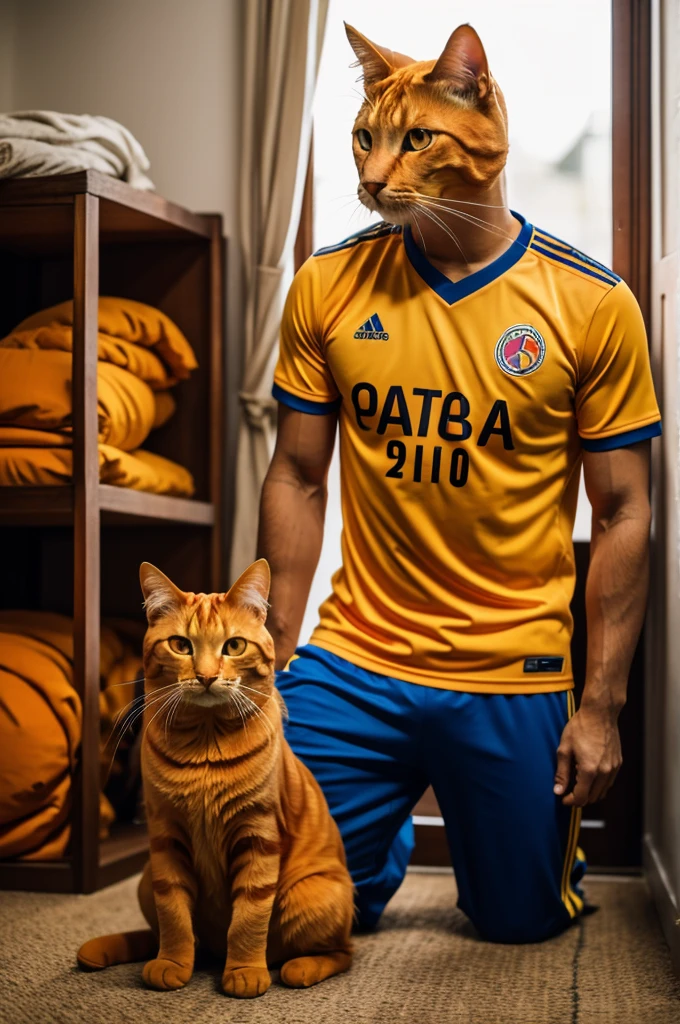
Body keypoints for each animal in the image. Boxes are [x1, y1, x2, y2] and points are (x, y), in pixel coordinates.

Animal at [78, 561, 352, 999]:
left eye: (234, 646)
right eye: (181, 645)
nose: (206, 676)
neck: (206, 745)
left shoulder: (258, 836)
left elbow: (248, 919)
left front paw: (244, 971)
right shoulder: (165, 839)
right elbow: (172, 915)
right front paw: (173, 964)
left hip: (310, 896)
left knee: (344, 952)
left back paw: (300, 967)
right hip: (144, 882)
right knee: (168, 936)